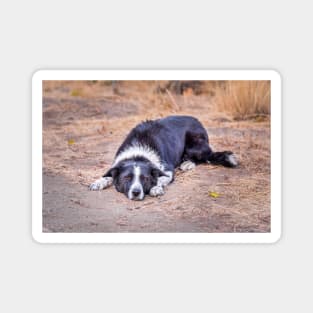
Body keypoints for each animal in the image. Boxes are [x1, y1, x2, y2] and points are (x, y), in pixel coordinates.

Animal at [89, 115, 236, 200]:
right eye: (126, 178)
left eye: (145, 179)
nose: (136, 192)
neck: (138, 153)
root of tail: (197, 121)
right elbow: (107, 175)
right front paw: (99, 182)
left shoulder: (167, 169)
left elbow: (160, 179)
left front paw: (156, 188)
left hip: (194, 144)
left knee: (202, 157)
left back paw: (187, 163)